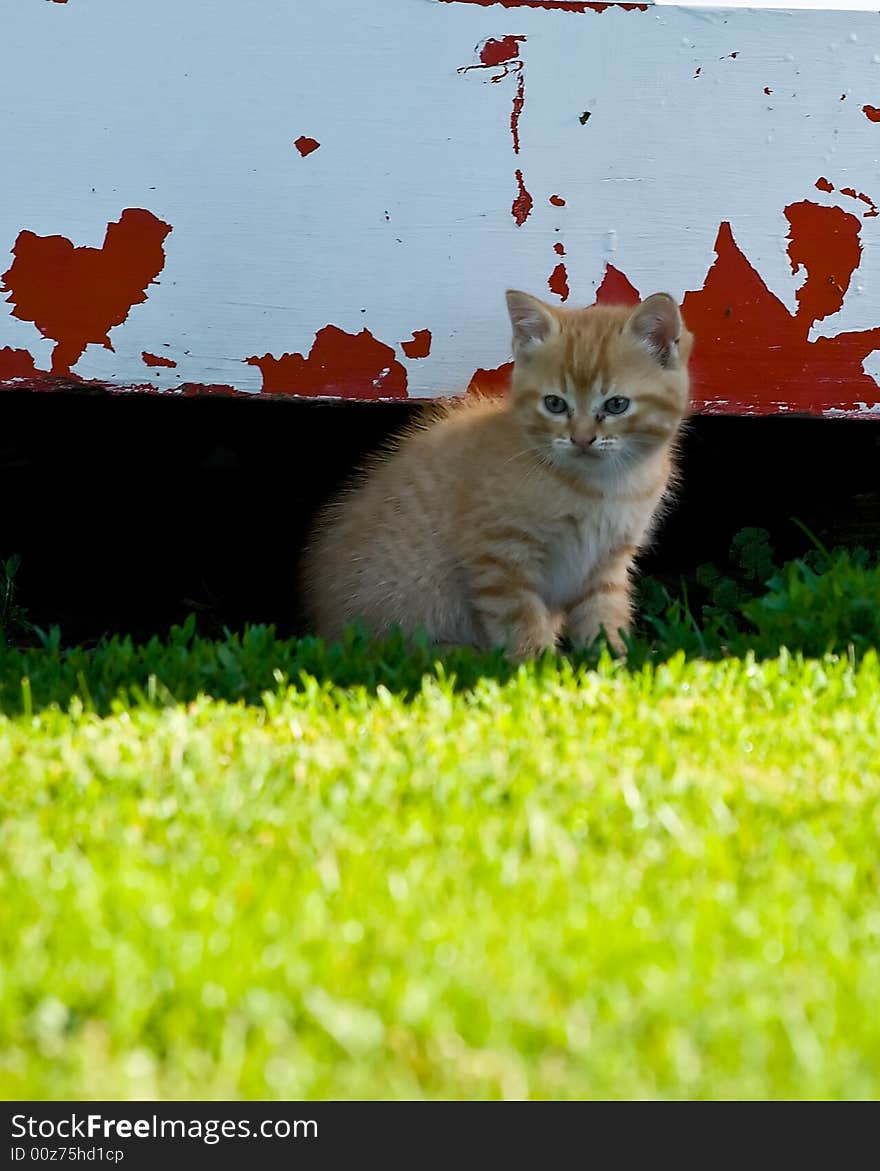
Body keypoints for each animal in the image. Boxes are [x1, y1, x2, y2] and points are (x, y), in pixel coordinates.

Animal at [302, 290, 693, 660]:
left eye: (616, 405)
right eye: (554, 404)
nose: (582, 439)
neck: (605, 485)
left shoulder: (607, 562)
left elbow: (603, 615)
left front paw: (612, 663)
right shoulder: (499, 554)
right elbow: (519, 620)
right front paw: (539, 668)